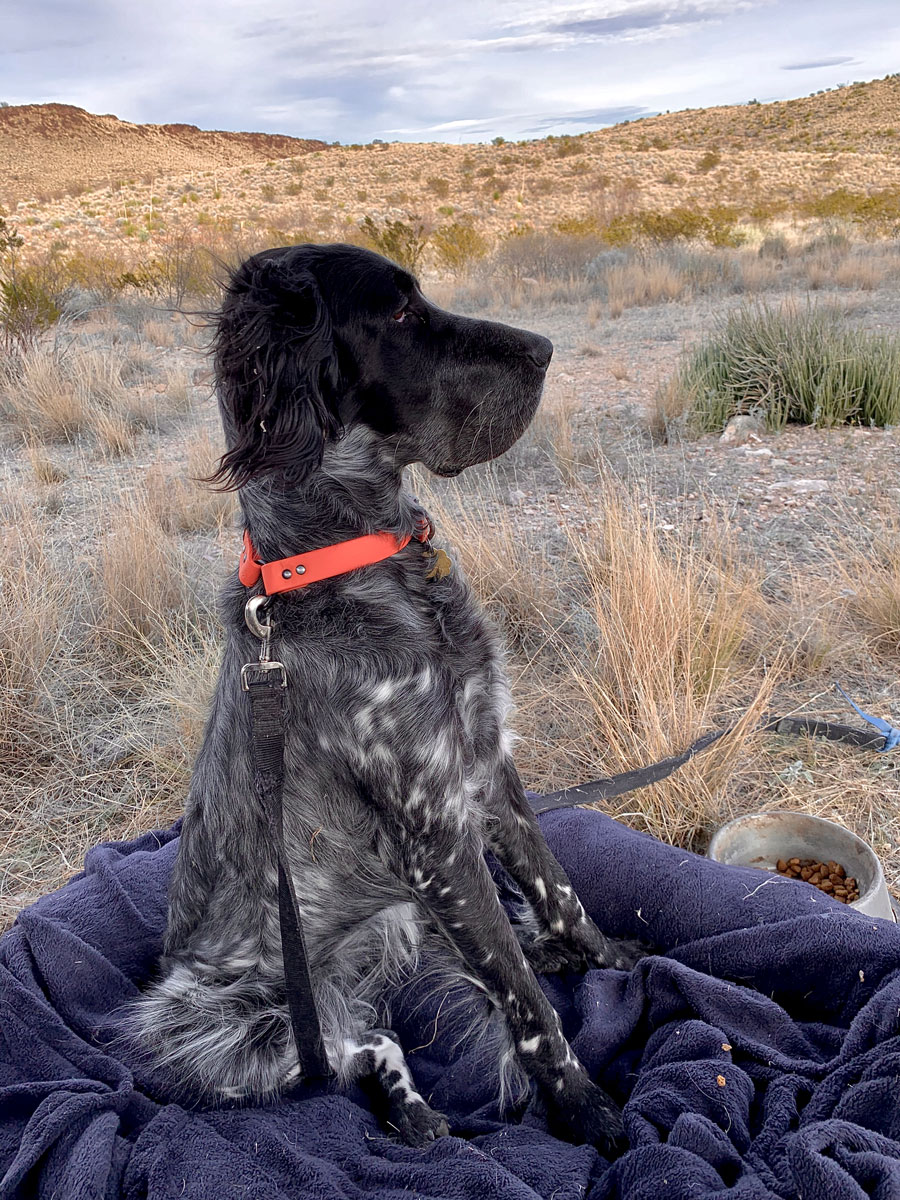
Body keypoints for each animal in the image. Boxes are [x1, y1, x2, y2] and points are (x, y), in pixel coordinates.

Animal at [130, 243, 643, 1152]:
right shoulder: (433, 835)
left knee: (368, 1029)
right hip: (215, 1028)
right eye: (401, 313)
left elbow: (558, 889)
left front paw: (609, 957)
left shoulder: (488, 769)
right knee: (347, 1045)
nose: (545, 349)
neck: (368, 562)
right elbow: (526, 1004)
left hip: (391, 920)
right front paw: (584, 1105)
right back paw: (409, 1106)